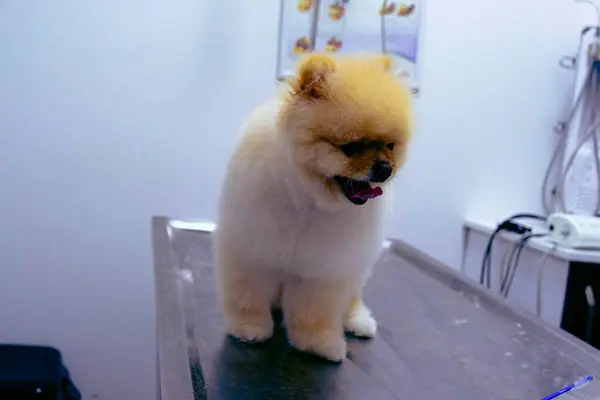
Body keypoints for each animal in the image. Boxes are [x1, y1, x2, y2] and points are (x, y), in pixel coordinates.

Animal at [213, 53, 414, 362]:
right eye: (351, 147)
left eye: (391, 146)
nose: (384, 169)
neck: (309, 197)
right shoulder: (252, 251)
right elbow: (248, 296)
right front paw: (249, 327)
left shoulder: (323, 270)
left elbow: (314, 312)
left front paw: (317, 343)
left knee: (352, 298)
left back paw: (358, 321)